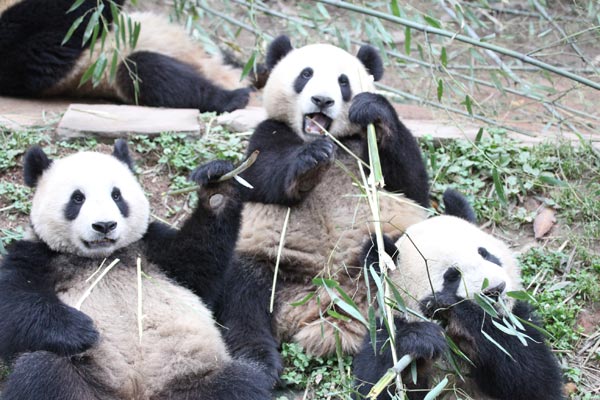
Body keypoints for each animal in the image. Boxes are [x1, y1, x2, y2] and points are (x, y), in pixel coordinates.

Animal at [0, 0, 253, 113]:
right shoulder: (20, 51)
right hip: (116, 74)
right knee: (155, 74)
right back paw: (234, 97)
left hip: (205, 48)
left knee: (234, 59)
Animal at [0, 141, 270, 400]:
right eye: (77, 198)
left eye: (116, 195)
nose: (104, 225)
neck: (102, 258)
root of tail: (137, 393)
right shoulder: (37, 256)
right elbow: (13, 306)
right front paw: (81, 329)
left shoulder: (153, 248)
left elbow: (199, 267)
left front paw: (218, 187)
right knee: (42, 373)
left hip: (192, 376)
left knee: (241, 384)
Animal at [216, 36, 432, 386]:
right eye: (305, 74)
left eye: (344, 82)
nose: (322, 99)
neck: (330, 139)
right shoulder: (269, 133)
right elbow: (261, 175)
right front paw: (310, 164)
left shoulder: (363, 147)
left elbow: (411, 185)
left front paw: (375, 110)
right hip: (273, 265)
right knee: (243, 296)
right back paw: (261, 364)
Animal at [352, 190, 564, 400]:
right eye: (452, 276)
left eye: (485, 254)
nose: (496, 289)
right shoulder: (385, 327)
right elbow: (374, 382)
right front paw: (418, 338)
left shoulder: (517, 319)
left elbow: (533, 377)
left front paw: (460, 310)